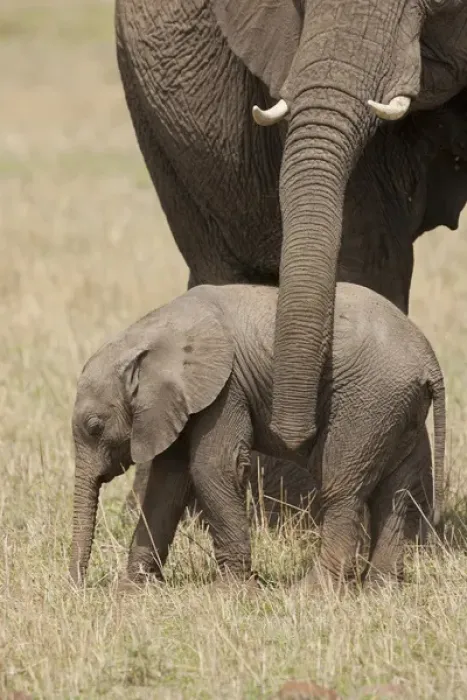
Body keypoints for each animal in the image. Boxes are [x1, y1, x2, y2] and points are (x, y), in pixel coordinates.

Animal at [69, 282, 445, 588]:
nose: (80, 587)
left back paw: (311, 592)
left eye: (95, 427)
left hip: (367, 404)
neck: (148, 334)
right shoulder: (177, 404)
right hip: (399, 411)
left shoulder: (225, 389)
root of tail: (429, 360)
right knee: (397, 493)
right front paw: (132, 590)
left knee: (342, 488)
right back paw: (381, 590)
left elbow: (214, 469)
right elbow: (168, 482)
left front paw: (228, 592)